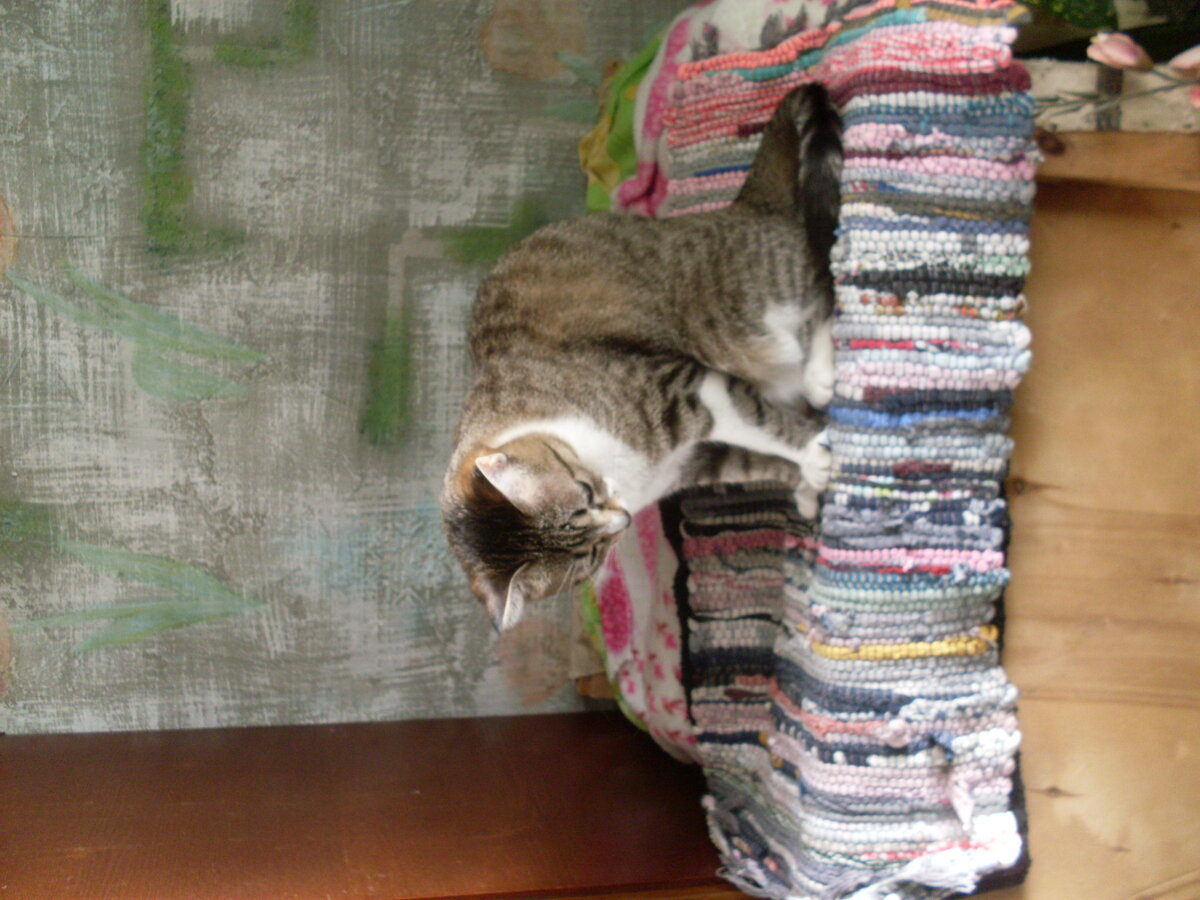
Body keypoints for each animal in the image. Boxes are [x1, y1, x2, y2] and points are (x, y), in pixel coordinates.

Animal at [442, 84, 843, 630]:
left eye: (585, 493)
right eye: (589, 556)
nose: (627, 518)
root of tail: (741, 205)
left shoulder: (687, 388)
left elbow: (764, 424)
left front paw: (812, 452)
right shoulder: (692, 463)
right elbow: (754, 460)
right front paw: (806, 475)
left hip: (745, 311)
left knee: (823, 288)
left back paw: (821, 373)